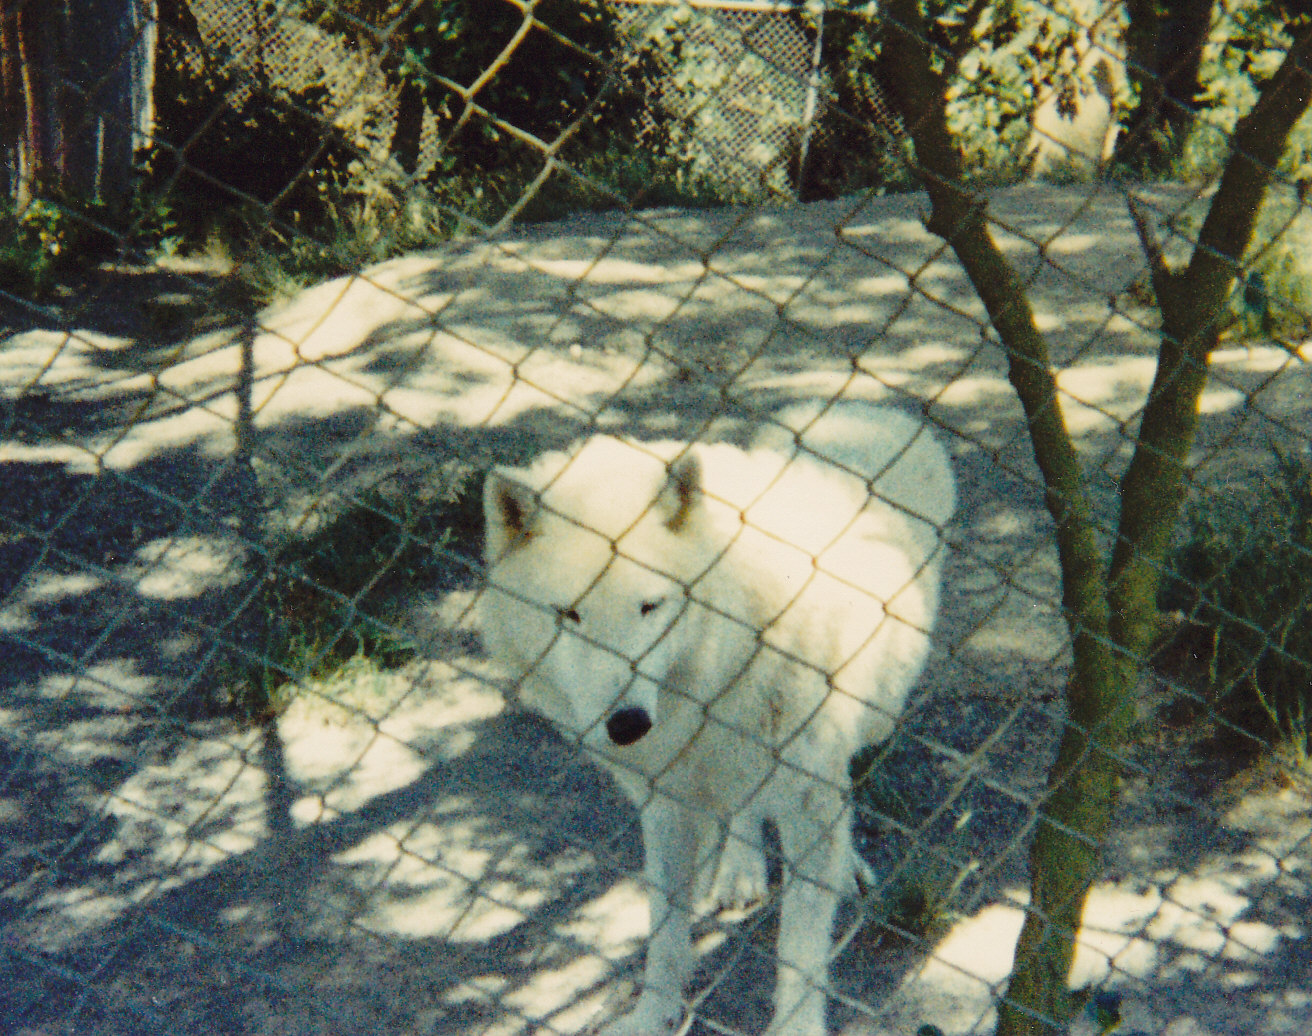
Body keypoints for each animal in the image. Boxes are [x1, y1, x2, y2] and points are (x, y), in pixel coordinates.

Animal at [479, 401, 956, 1036]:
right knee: (745, 810)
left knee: (840, 786)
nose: (627, 724)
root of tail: (863, 409)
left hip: (872, 717)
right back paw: (740, 869)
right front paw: (651, 1017)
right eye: (570, 615)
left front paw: (796, 1027)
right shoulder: (664, 807)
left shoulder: (807, 796)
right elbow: (664, 935)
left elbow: (799, 950)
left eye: (650, 606)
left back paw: (844, 864)